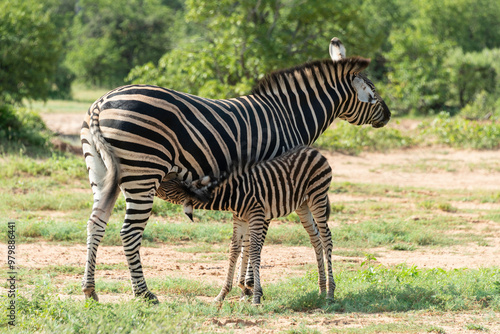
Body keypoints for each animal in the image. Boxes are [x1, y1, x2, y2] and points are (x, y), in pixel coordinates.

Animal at [80, 37, 390, 302]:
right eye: (373, 94)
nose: (388, 116)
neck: (290, 116)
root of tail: (101, 103)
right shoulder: (273, 178)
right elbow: (256, 238)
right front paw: (250, 286)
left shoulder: (256, 185)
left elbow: (245, 238)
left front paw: (243, 286)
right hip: (144, 173)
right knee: (129, 232)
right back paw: (144, 293)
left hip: (102, 174)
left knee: (95, 223)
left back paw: (90, 290)